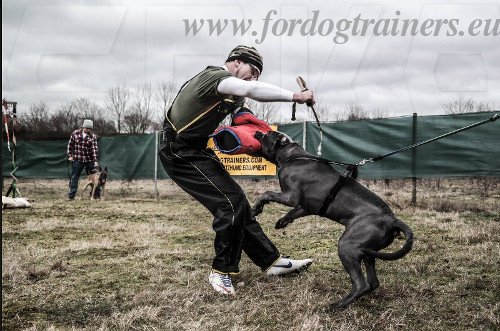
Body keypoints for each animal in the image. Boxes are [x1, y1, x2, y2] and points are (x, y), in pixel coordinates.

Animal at [254, 131, 414, 310]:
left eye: (267, 134)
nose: (257, 132)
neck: (292, 156)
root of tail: (393, 220)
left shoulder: (291, 196)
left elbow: (267, 193)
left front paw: (256, 207)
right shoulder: (306, 207)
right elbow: (293, 213)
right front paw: (282, 221)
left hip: (346, 246)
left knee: (362, 284)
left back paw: (338, 305)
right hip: (366, 252)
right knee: (373, 282)